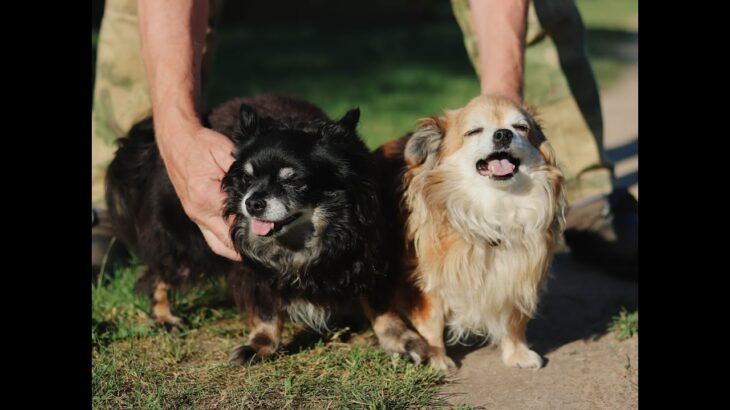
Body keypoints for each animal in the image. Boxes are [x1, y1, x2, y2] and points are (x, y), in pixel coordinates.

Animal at [107, 95, 426, 362]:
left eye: (293, 181)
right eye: (246, 178)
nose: (252, 203)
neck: (301, 241)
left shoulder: (367, 255)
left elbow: (381, 304)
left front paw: (400, 339)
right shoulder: (253, 267)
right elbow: (267, 309)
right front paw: (261, 345)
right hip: (182, 240)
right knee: (158, 273)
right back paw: (163, 316)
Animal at [372, 96, 564, 372]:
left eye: (521, 128)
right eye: (474, 131)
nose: (503, 134)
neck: (493, 207)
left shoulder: (517, 270)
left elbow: (514, 319)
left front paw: (517, 353)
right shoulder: (427, 279)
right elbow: (432, 321)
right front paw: (437, 358)